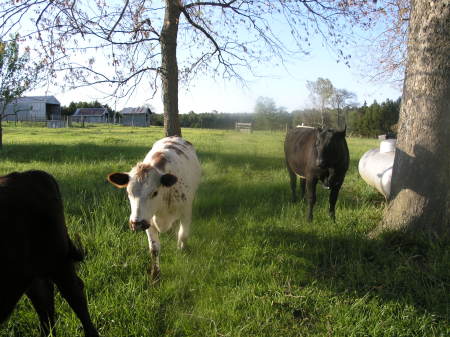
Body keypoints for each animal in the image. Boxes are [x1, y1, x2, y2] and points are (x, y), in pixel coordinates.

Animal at [107, 135, 200, 280]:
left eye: (155, 192)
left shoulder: (186, 212)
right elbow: (154, 249)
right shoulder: (148, 220)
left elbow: (183, 235)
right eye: (128, 192)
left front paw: (182, 250)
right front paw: (155, 275)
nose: (137, 223)